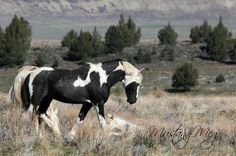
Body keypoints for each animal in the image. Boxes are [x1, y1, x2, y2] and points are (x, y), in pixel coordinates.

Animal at [7, 59, 143, 138]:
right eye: (135, 83)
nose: (132, 100)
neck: (102, 77)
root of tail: (30, 73)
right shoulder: (98, 103)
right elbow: (103, 123)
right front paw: (106, 137)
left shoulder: (88, 104)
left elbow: (80, 120)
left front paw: (70, 136)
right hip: (35, 101)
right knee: (31, 115)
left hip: (46, 100)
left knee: (39, 114)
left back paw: (47, 133)